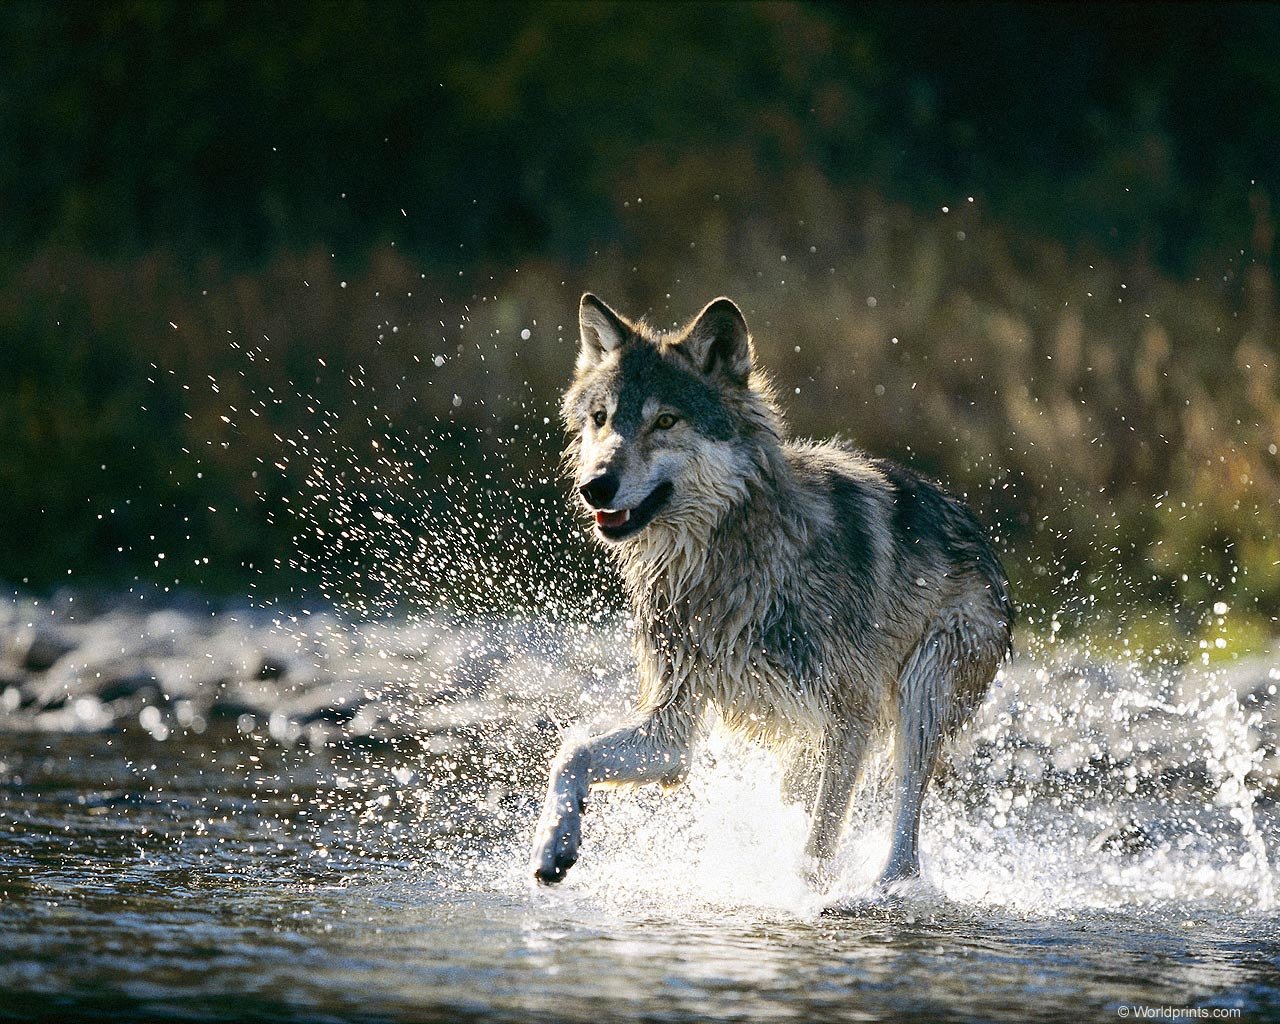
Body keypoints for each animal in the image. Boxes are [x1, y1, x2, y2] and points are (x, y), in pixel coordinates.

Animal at [527, 294, 1008, 885]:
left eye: (665, 421)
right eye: (601, 419)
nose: (595, 486)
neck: (729, 567)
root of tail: (984, 540)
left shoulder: (849, 718)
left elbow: (817, 848)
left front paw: (807, 896)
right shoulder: (671, 732)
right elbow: (571, 752)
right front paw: (552, 845)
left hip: (918, 698)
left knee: (905, 851)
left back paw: (882, 888)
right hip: (804, 746)